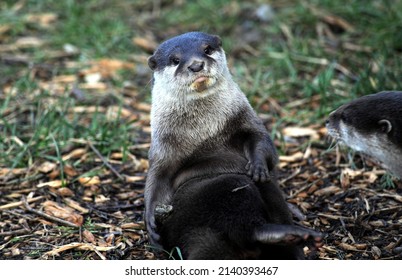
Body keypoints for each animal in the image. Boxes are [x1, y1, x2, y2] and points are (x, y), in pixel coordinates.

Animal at [144, 31, 320, 258]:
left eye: (207, 49)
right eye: (175, 60)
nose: (196, 65)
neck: (205, 131)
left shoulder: (244, 118)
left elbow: (263, 143)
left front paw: (258, 165)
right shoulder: (163, 147)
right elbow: (157, 179)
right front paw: (150, 222)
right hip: (221, 189)